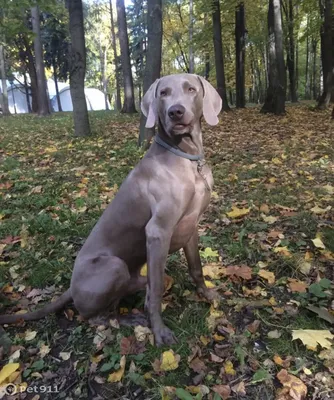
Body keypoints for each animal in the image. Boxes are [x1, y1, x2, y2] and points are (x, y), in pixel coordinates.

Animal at [0, 73, 222, 346]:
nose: (175, 112)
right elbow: (157, 289)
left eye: (191, 89)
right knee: (95, 316)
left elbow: (196, 267)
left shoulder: (191, 226)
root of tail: (70, 287)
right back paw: (127, 319)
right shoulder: (158, 231)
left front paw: (207, 295)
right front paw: (159, 331)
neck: (187, 157)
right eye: (163, 93)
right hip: (114, 266)